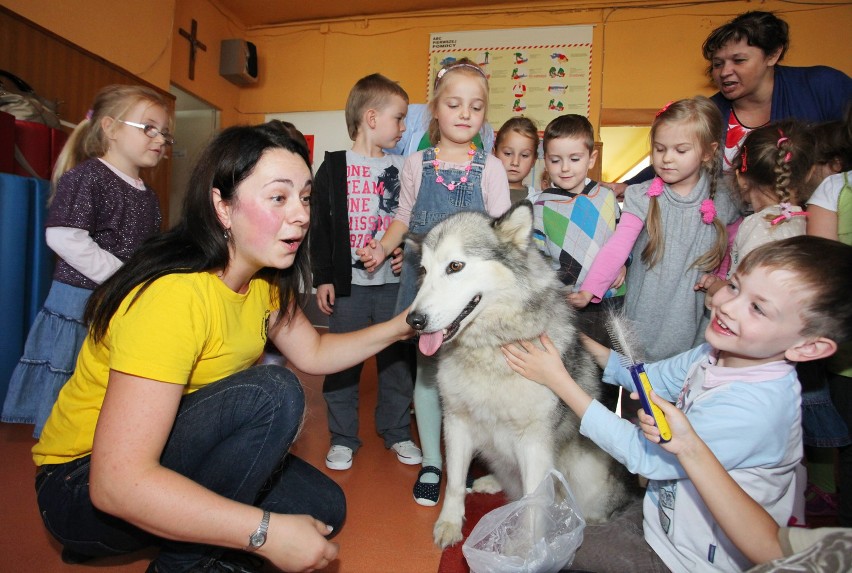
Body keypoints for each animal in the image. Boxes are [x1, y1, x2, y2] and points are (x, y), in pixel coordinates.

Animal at [410, 203, 636, 548]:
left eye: (455, 266)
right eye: (423, 271)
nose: (413, 320)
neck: (489, 350)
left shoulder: (534, 444)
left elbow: (534, 503)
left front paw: (527, 550)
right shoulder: (456, 422)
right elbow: (455, 483)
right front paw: (449, 523)